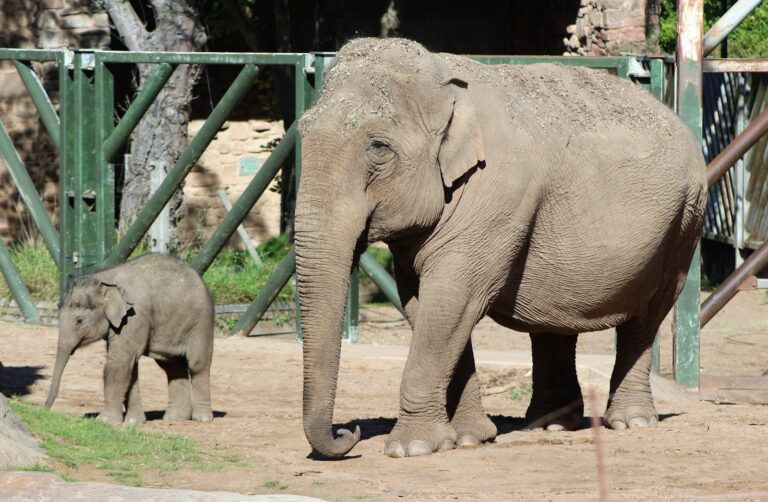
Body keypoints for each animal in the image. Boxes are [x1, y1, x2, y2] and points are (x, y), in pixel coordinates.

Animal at [45, 254, 215, 424]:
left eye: (79, 321)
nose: (45, 409)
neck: (103, 278)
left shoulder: (135, 315)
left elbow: (119, 361)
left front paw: (105, 420)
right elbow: (130, 367)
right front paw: (134, 422)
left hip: (201, 323)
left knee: (197, 364)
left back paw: (202, 418)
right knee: (172, 366)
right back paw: (175, 418)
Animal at [294, 38, 707, 459]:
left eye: (378, 147)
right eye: (302, 132)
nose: (349, 433)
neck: (444, 81)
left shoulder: (498, 191)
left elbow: (453, 298)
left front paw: (411, 449)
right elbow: (424, 302)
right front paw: (470, 437)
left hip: (684, 221)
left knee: (647, 316)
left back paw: (630, 421)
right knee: (556, 317)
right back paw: (550, 425)